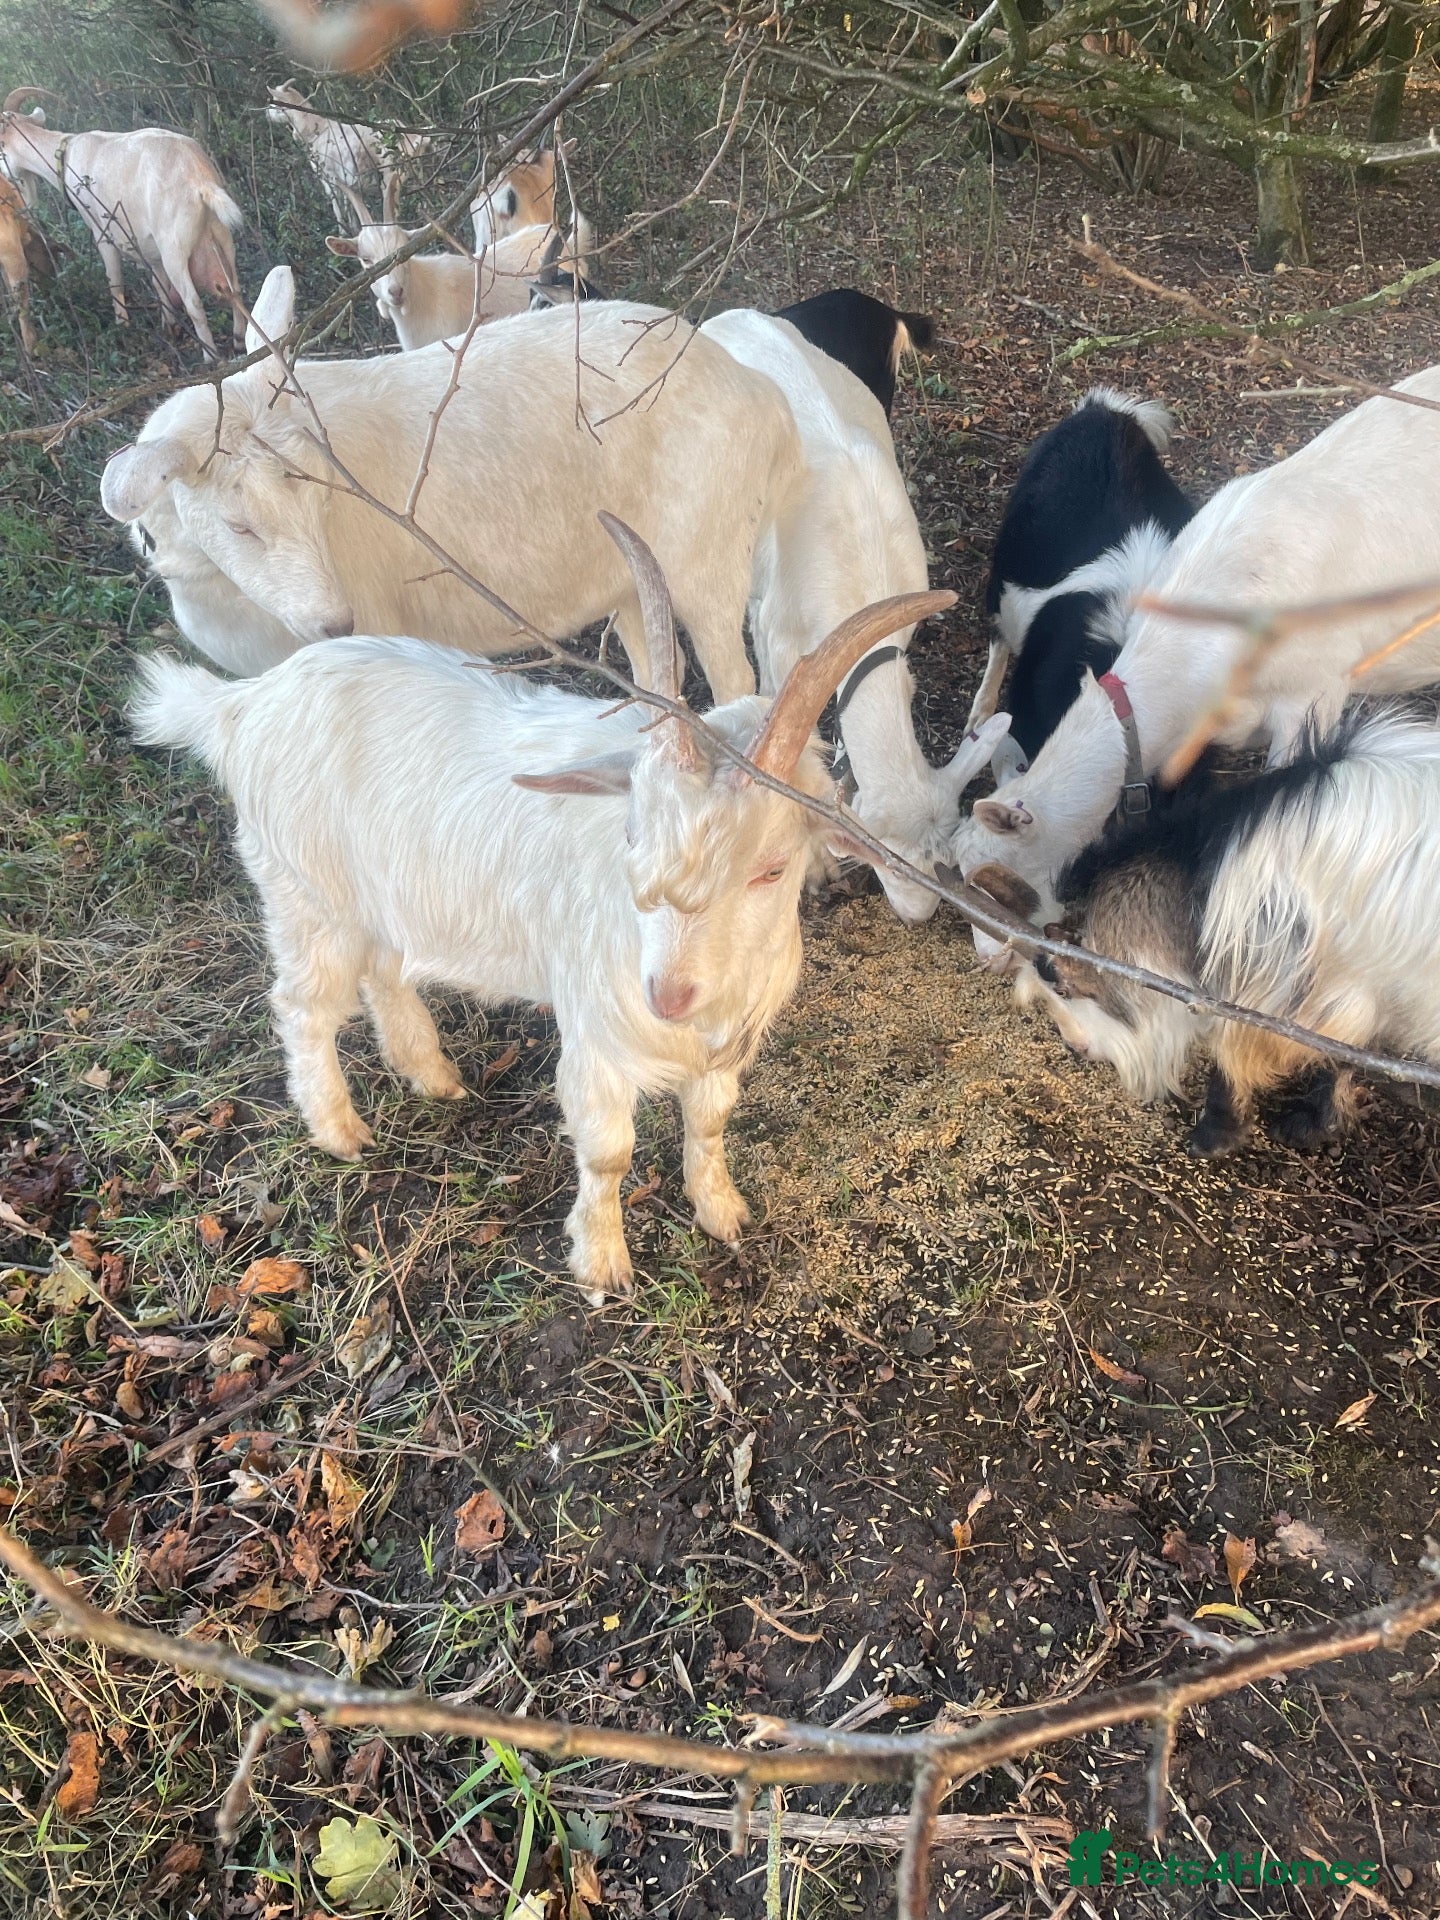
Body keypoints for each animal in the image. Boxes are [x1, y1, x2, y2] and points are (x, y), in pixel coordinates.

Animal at [101, 267, 802, 703]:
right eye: (238, 525)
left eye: (323, 499)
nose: (336, 622)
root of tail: (759, 391)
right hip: (631, 572)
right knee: (660, 678)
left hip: (707, 553)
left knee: (735, 678)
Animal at [131, 515, 952, 1299]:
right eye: (631, 832)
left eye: (772, 868)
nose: (667, 996)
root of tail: (245, 704)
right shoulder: (597, 1036)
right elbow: (609, 1153)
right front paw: (602, 1263)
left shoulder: (724, 1045)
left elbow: (711, 1120)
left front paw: (721, 1211)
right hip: (308, 895)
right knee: (304, 1006)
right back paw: (339, 1129)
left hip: (382, 894)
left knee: (385, 973)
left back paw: (431, 1074)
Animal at [266, 81, 429, 231]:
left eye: (274, 102)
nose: (266, 114)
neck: (318, 131)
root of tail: (413, 139)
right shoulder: (348, 181)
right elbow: (350, 206)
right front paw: (356, 229)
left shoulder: (329, 178)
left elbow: (337, 208)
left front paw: (343, 232)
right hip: (417, 172)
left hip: (391, 173)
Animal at [975, 708, 1440, 1158]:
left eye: (1064, 985)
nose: (1079, 1048)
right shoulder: (1356, 986)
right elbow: (1345, 1052)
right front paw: (1314, 1125)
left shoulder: (1274, 980)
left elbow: (1233, 1047)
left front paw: (1216, 1136)